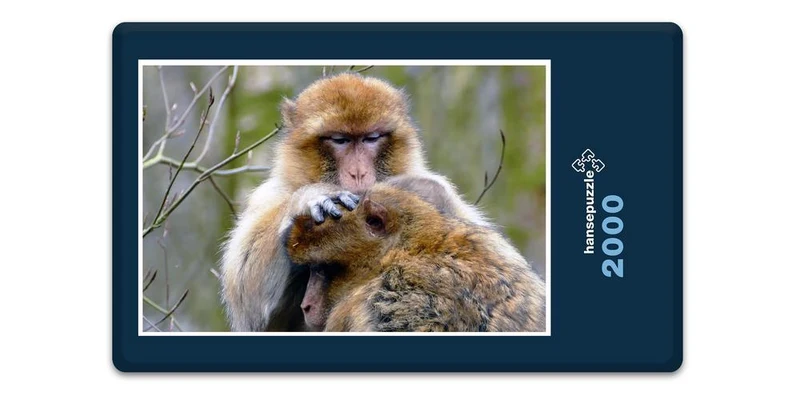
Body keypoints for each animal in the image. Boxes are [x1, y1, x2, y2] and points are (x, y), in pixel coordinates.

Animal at [219, 72, 492, 331]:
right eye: (340, 140)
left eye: (371, 138)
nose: (358, 172)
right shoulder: (268, 196)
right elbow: (247, 301)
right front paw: (312, 197)